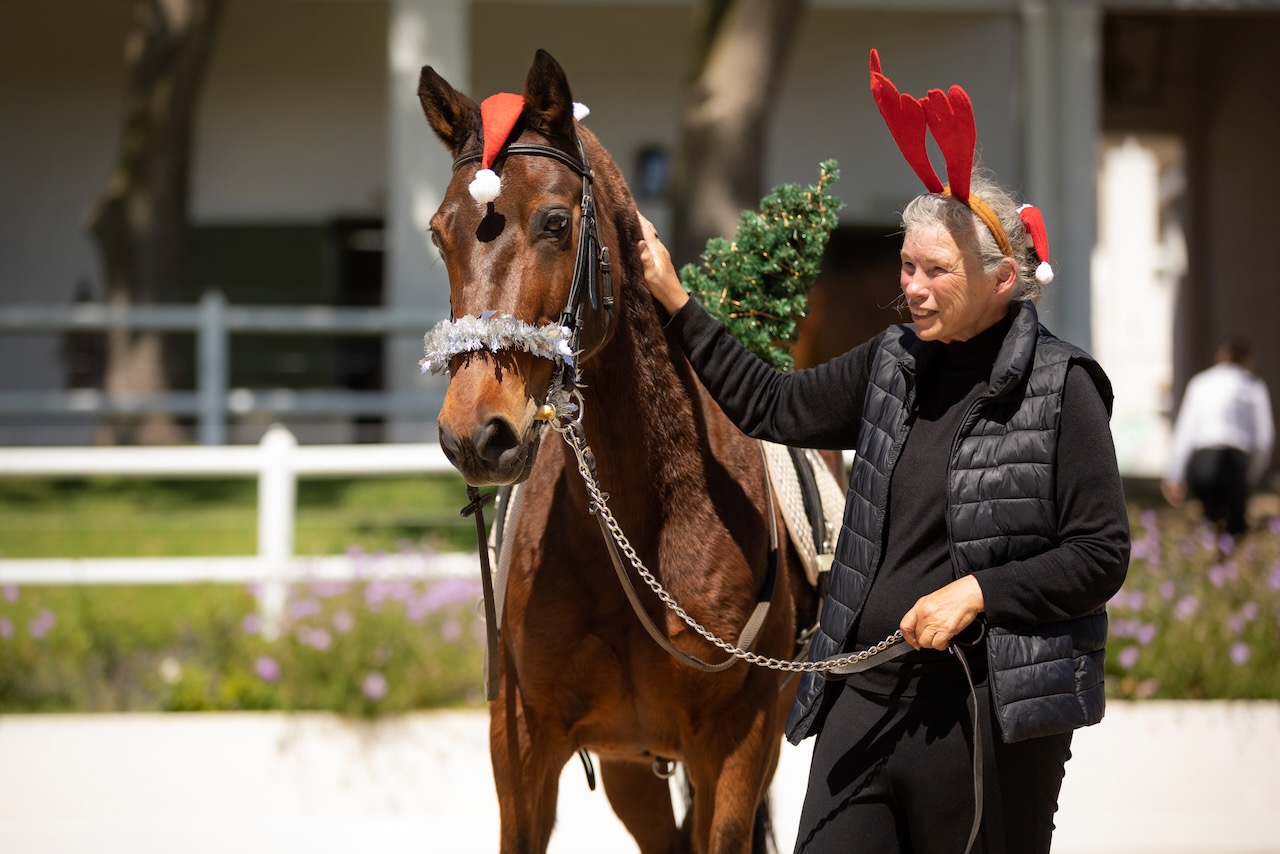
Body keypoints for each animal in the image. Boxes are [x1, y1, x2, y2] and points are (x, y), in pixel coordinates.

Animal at [417, 49, 826, 853]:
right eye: (440, 234)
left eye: (554, 222)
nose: (475, 433)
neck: (643, 516)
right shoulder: (522, 745)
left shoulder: (737, 747)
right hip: (632, 767)